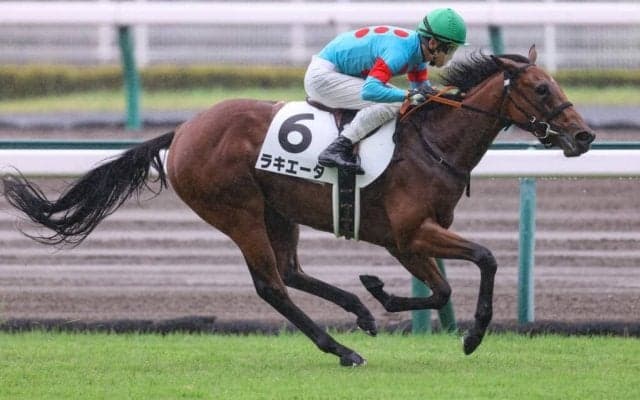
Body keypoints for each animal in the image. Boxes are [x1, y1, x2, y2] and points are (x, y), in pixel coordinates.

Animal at [2, 46, 595, 366]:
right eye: (541, 89)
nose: (584, 135)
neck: (432, 143)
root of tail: (183, 131)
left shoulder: (404, 239)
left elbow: (443, 288)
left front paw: (380, 295)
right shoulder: (410, 232)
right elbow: (485, 259)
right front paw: (471, 335)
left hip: (278, 211)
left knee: (290, 271)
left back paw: (358, 312)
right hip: (237, 211)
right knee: (272, 285)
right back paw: (342, 348)